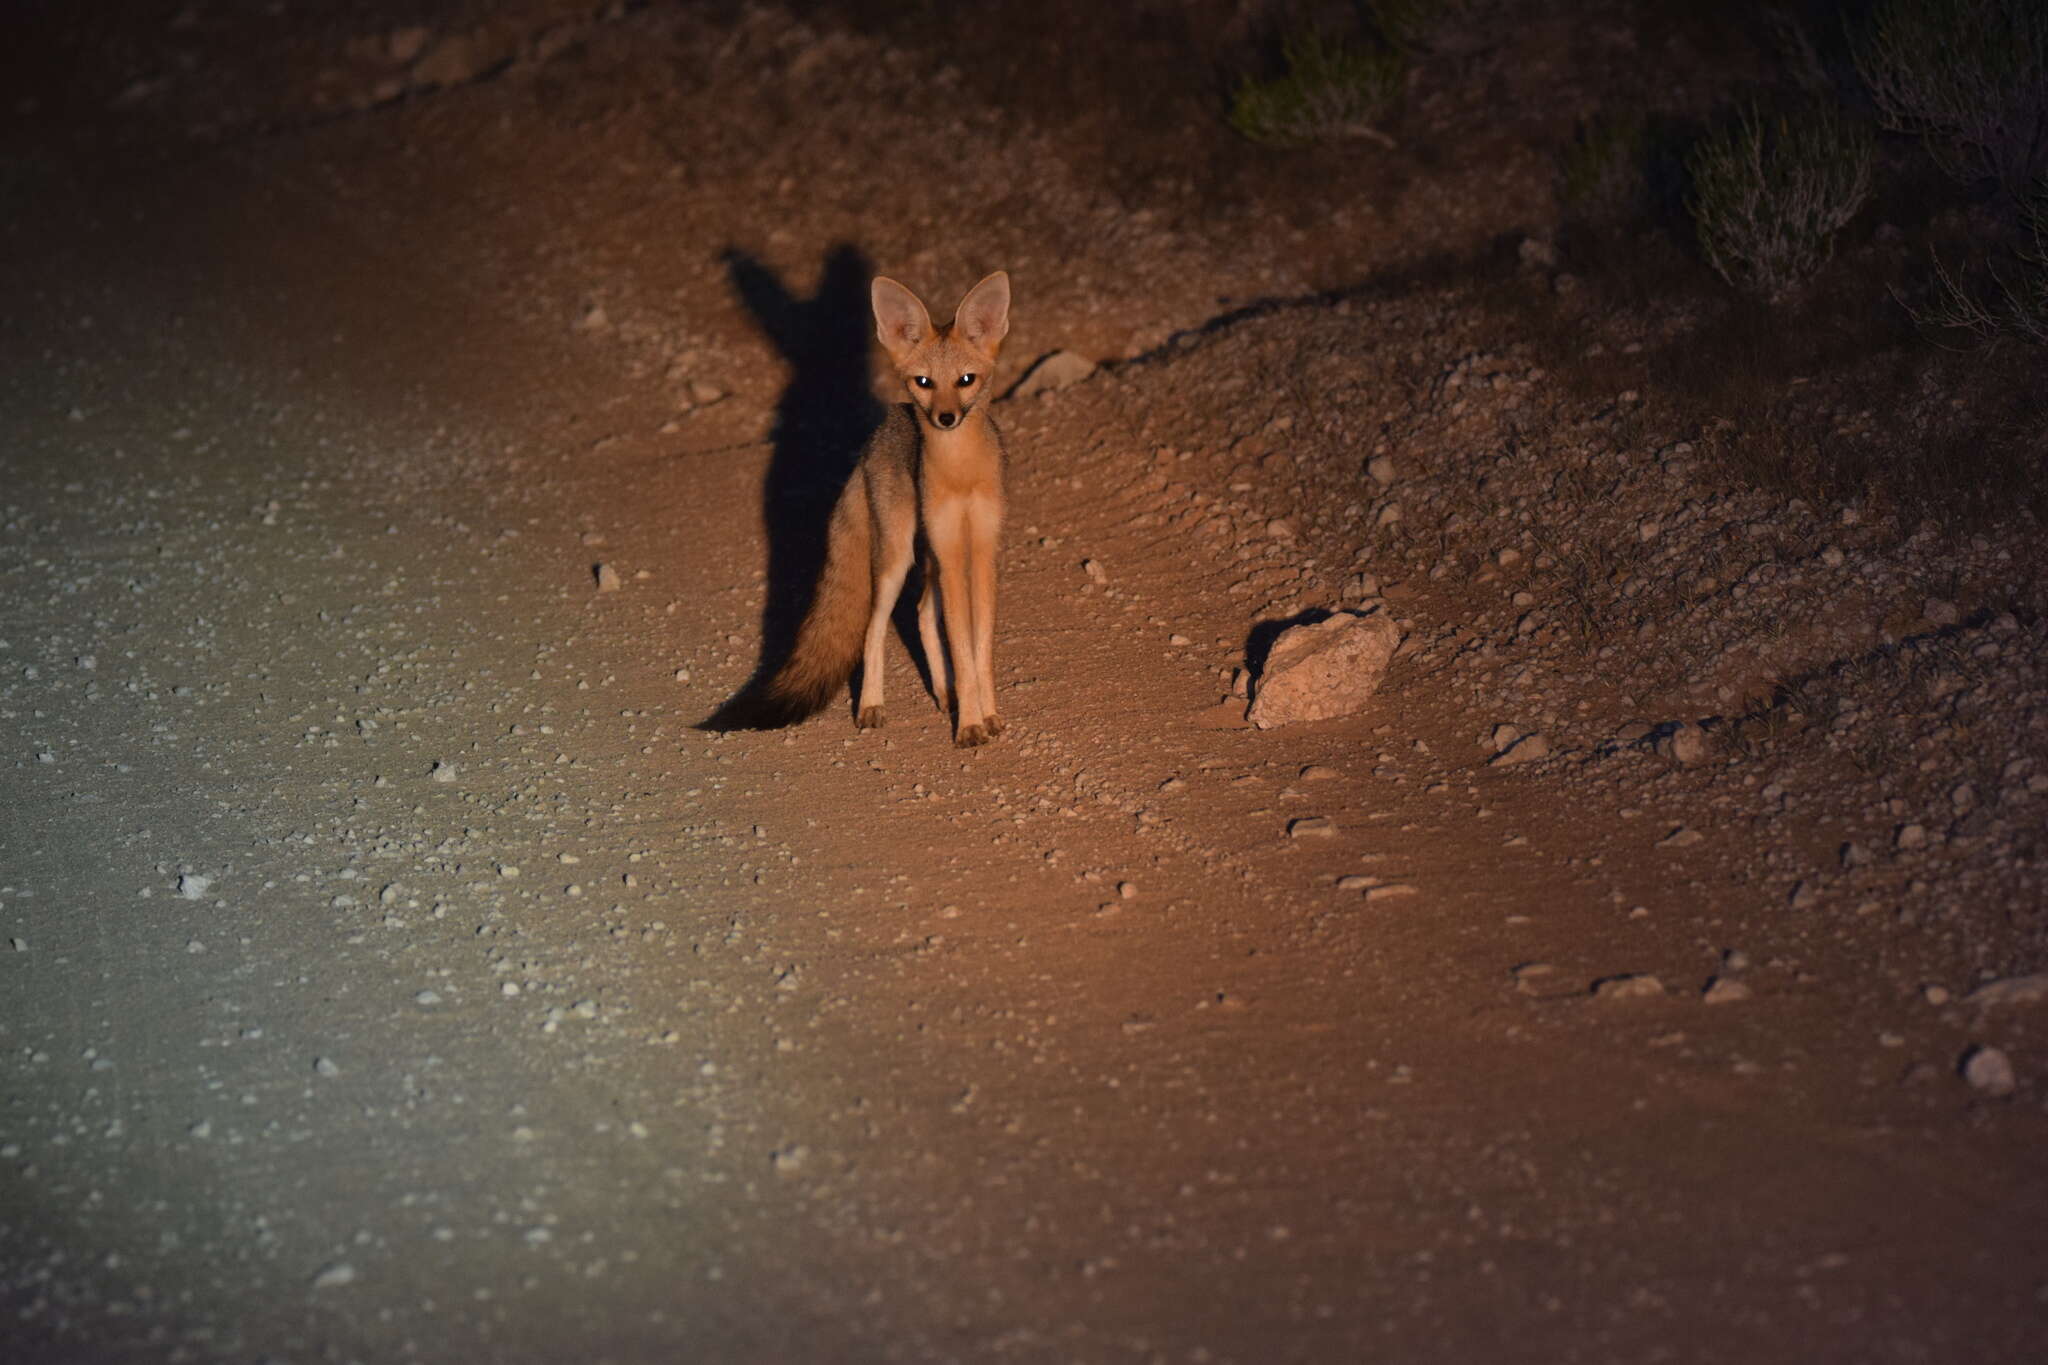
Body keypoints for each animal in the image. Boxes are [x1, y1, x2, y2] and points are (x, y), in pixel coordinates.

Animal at [712, 270, 1015, 749]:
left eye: (966, 379)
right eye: (924, 382)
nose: (946, 418)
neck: (961, 474)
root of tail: (879, 430)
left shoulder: (983, 552)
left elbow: (978, 649)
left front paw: (987, 715)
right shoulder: (951, 554)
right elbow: (962, 649)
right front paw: (970, 724)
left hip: (925, 559)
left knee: (922, 615)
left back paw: (943, 692)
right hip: (896, 558)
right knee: (875, 626)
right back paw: (872, 704)